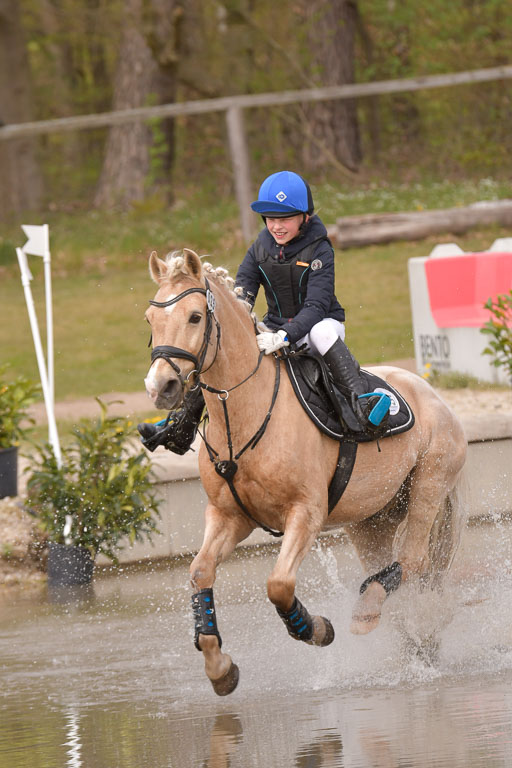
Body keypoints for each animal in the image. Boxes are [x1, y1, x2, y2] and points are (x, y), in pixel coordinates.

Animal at [142, 248, 466, 696]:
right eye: (149, 320)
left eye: (194, 317)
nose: (161, 388)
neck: (244, 411)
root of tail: (434, 395)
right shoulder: (229, 516)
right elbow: (200, 572)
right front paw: (219, 667)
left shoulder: (306, 514)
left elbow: (278, 585)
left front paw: (313, 628)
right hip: (371, 520)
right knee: (394, 571)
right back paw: (406, 638)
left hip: (429, 486)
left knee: (413, 559)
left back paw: (365, 610)